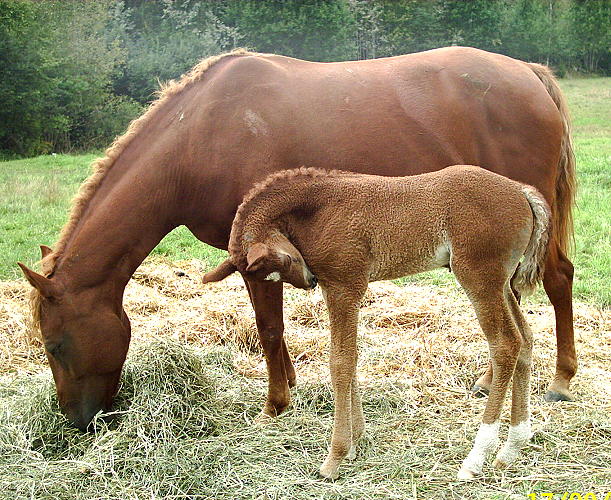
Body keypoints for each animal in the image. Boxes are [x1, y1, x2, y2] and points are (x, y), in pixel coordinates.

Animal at [204, 167, 548, 480]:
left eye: (284, 261)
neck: (319, 208)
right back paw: (511, 449)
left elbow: (340, 362)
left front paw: (335, 456)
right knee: (525, 340)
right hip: (501, 284)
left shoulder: (344, 288)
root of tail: (522, 192)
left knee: (506, 344)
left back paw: (476, 458)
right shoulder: (338, 290)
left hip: (479, 278)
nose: (309, 280)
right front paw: (356, 443)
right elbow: (351, 359)